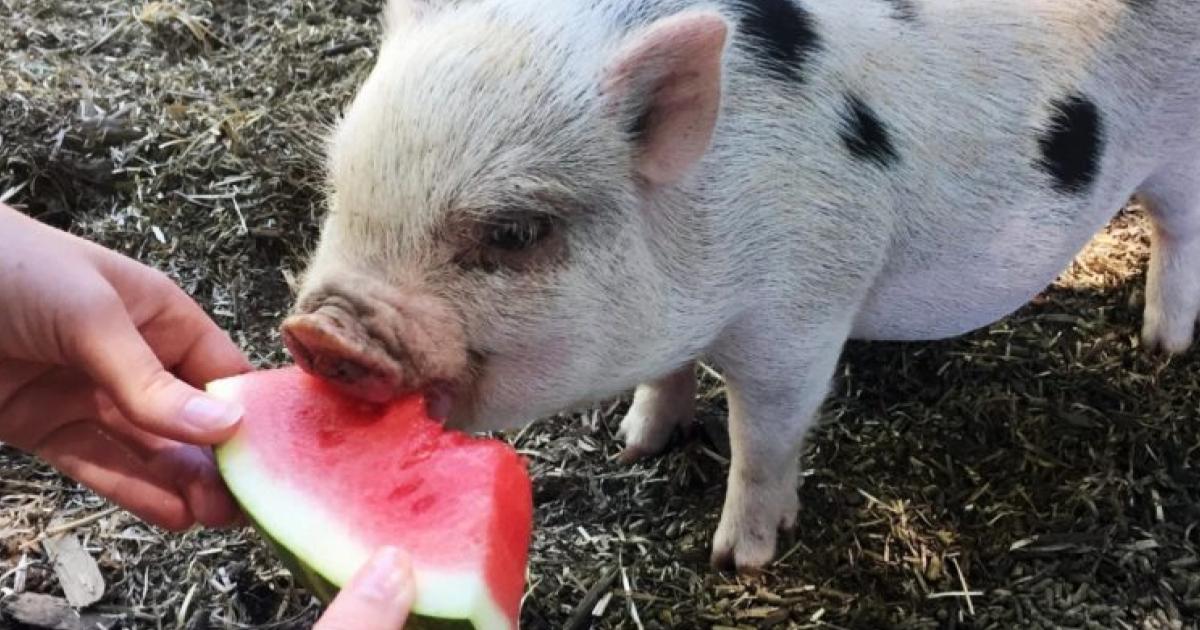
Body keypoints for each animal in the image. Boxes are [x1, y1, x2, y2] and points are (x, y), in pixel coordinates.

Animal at [281, 0, 1200, 572]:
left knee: (1180, 230)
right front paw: (635, 444)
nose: (320, 330)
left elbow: (762, 437)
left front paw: (737, 559)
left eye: (513, 233)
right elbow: (667, 377)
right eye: (338, 183)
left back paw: (1162, 344)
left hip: (1181, 153)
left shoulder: (802, 317)